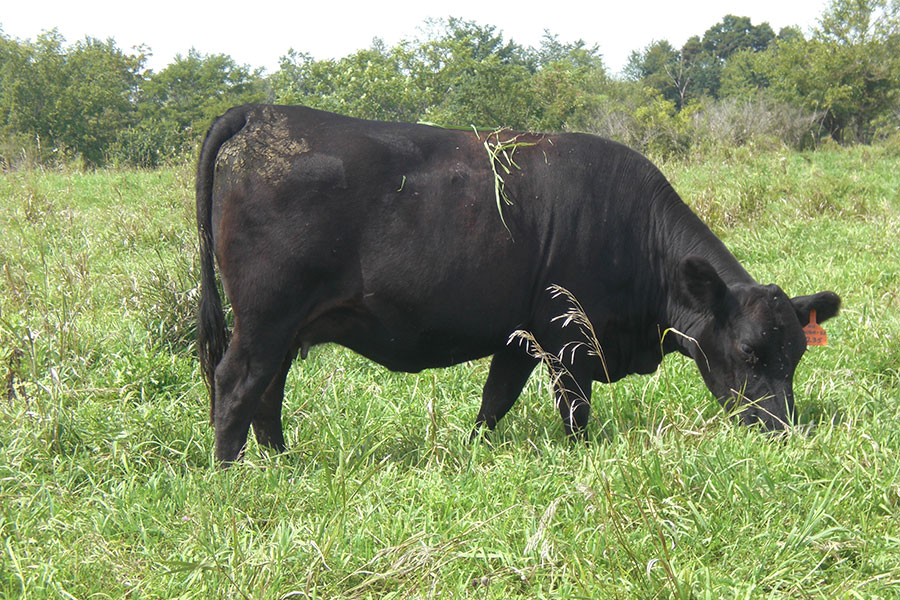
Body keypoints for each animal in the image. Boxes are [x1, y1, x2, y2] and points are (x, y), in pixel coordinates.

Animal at [196, 104, 840, 464]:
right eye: (749, 351)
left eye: (796, 355)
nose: (782, 431)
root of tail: (261, 111)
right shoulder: (567, 340)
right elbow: (575, 411)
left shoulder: (520, 336)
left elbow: (494, 400)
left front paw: (473, 450)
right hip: (265, 317)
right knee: (237, 384)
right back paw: (230, 475)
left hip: (284, 326)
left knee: (267, 392)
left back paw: (283, 464)